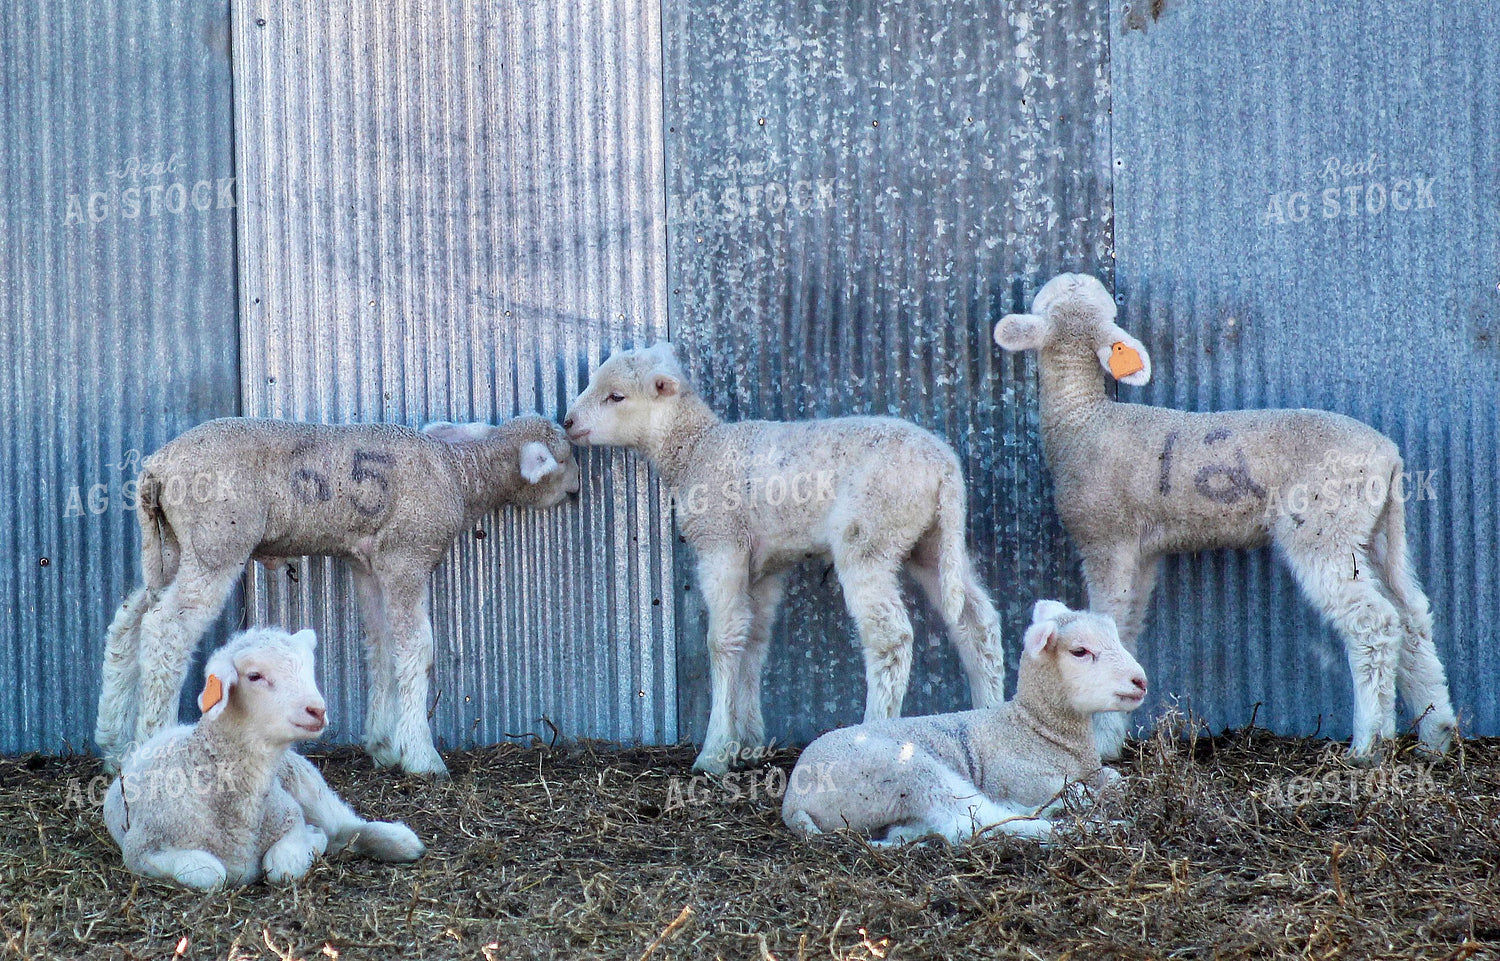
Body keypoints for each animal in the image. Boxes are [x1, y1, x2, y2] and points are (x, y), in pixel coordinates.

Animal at [94, 415, 581, 778]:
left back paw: (115, 746)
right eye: (564, 456)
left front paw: (383, 745)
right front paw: (422, 757)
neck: (459, 474)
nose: (577, 490)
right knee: (166, 629)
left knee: (129, 621)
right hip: (215, 541)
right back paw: (150, 743)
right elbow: (417, 649)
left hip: (171, 546)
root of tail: (157, 467)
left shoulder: (368, 563)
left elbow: (381, 646)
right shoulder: (407, 554)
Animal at [103, 627, 425, 890]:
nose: (317, 710)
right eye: (254, 676)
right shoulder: (141, 850)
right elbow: (210, 873)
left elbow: (282, 866)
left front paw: (312, 840)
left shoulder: (289, 818)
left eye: (308, 669)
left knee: (346, 826)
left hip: (305, 781)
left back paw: (403, 843)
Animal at [562, 342, 1005, 773]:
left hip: (869, 535)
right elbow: (753, 640)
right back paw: (989, 716)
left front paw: (714, 751)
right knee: (977, 622)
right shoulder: (764, 568)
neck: (699, 450)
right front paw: (749, 743)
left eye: (616, 396)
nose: (567, 422)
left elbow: (722, 641)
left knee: (891, 637)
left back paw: (873, 732)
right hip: (930, 541)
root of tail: (944, 469)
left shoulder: (722, 543)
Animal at [782, 600, 1145, 845]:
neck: (1033, 727)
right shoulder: (1017, 778)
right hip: (907, 772)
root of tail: (792, 804)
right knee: (972, 823)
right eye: (1080, 651)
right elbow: (1079, 791)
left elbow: (1113, 780)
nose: (1141, 681)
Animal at [993, 272, 1456, 761]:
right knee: (1411, 616)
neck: (1082, 420)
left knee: (1374, 622)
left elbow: (1109, 619)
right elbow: (1129, 626)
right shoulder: (1142, 551)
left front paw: (1099, 742)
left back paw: (1368, 744)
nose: (1075, 276)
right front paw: (1112, 732)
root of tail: (1389, 455)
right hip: (1376, 531)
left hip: (1324, 527)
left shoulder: (1106, 538)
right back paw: (1437, 734)